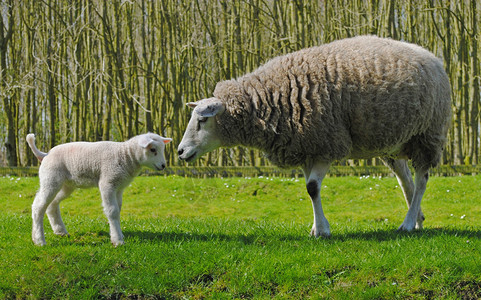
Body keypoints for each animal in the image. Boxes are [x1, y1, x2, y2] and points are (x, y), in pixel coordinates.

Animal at [26, 132, 172, 245]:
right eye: (153, 150)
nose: (163, 166)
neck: (125, 156)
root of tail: (45, 155)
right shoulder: (108, 183)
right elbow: (112, 211)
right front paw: (118, 240)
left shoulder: (119, 187)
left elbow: (118, 210)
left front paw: (118, 234)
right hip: (50, 179)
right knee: (38, 206)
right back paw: (39, 240)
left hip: (66, 184)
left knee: (52, 204)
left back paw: (60, 231)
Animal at [176, 35, 450, 237]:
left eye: (202, 120)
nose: (180, 151)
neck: (266, 101)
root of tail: (432, 57)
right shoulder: (306, 147)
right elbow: (310, 188)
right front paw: (317, 227)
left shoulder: (326, 143)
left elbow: (312, 187)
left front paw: (322, 231)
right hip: (394, 141)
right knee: (406, 180)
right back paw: (417, 220)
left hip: (428, 135)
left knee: (422, 179)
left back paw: (408, 223)